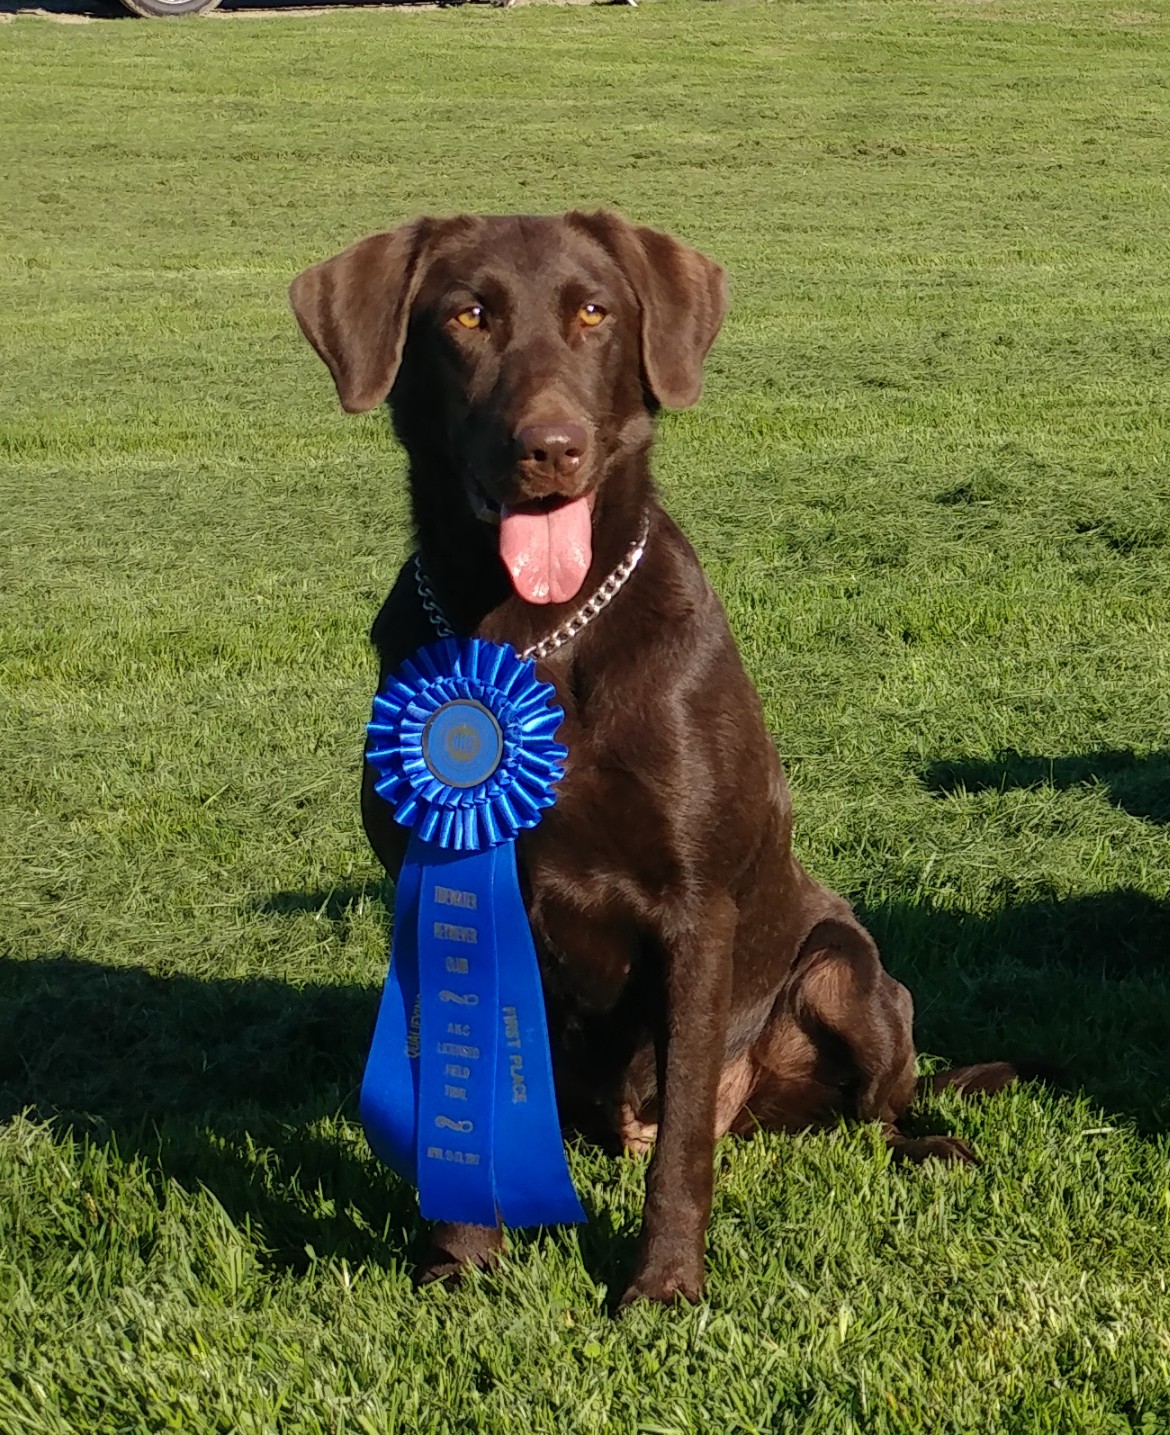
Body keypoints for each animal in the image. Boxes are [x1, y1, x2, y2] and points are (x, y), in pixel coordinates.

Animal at [285, 209, 1016, 1302]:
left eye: (594, 311)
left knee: (865, 1112)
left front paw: (664, 1285)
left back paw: (930, 1145)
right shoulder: (436, 882)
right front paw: (461, 1262)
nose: (550, 447)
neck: (533, 632)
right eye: (467, 315)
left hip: (846, 972)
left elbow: (682, 1150)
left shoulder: (695, 908)